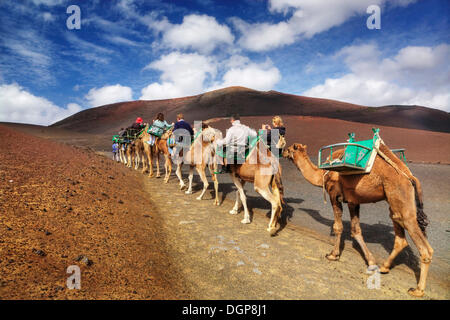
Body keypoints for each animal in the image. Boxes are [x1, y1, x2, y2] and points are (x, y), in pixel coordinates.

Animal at [284, 142, 434, 298]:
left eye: (289, 148)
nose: (282, 151)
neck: (323, 174)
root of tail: (410, 177)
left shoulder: (334, 194)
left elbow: (338, 227)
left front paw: (333, 255)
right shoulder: (353, 201)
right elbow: (356, 230)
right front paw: (371, 262)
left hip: (402, 202)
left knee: (425, 247)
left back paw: (418, 290)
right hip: (394, 204)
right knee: (400, 237)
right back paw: (384, 267)